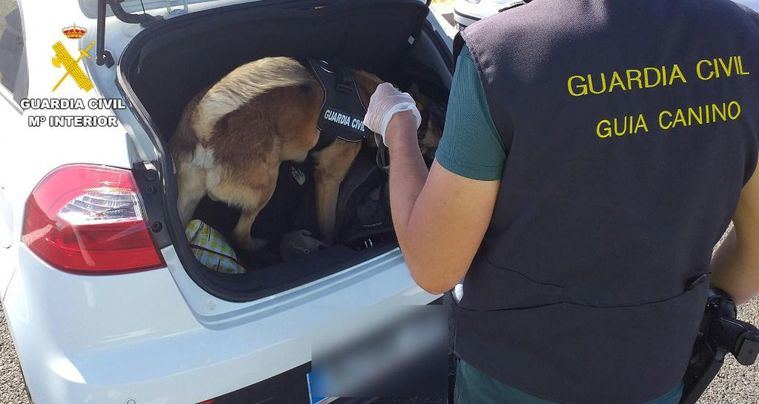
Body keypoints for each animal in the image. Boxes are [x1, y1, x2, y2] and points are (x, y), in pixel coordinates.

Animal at [168, 56, 436, 251]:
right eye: (428, 149)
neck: (369, 95)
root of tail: (205, 128)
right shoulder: (329, 179)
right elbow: (328, 224)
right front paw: (329, 244)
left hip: (189, 198)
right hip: (267, 184)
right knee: (239, 233)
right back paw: (257, 245)